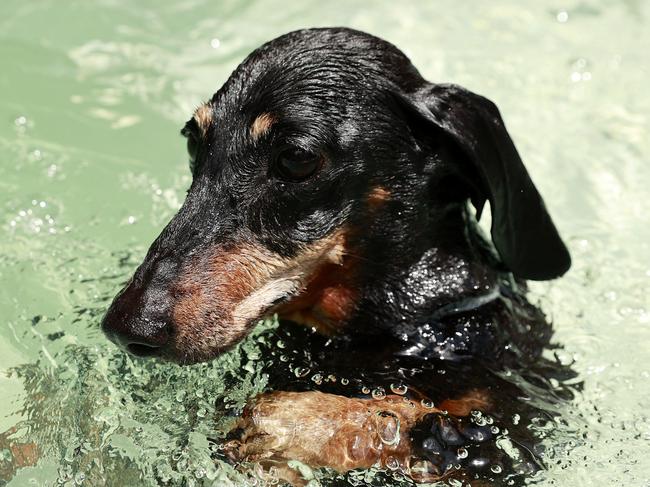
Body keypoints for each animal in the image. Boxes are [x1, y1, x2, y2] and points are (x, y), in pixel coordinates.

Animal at [100, 27, 568, 487]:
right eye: (193, 142)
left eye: (296, 159)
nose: (125, 326)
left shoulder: (511, 443)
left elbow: (410, 418)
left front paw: (293, 422)